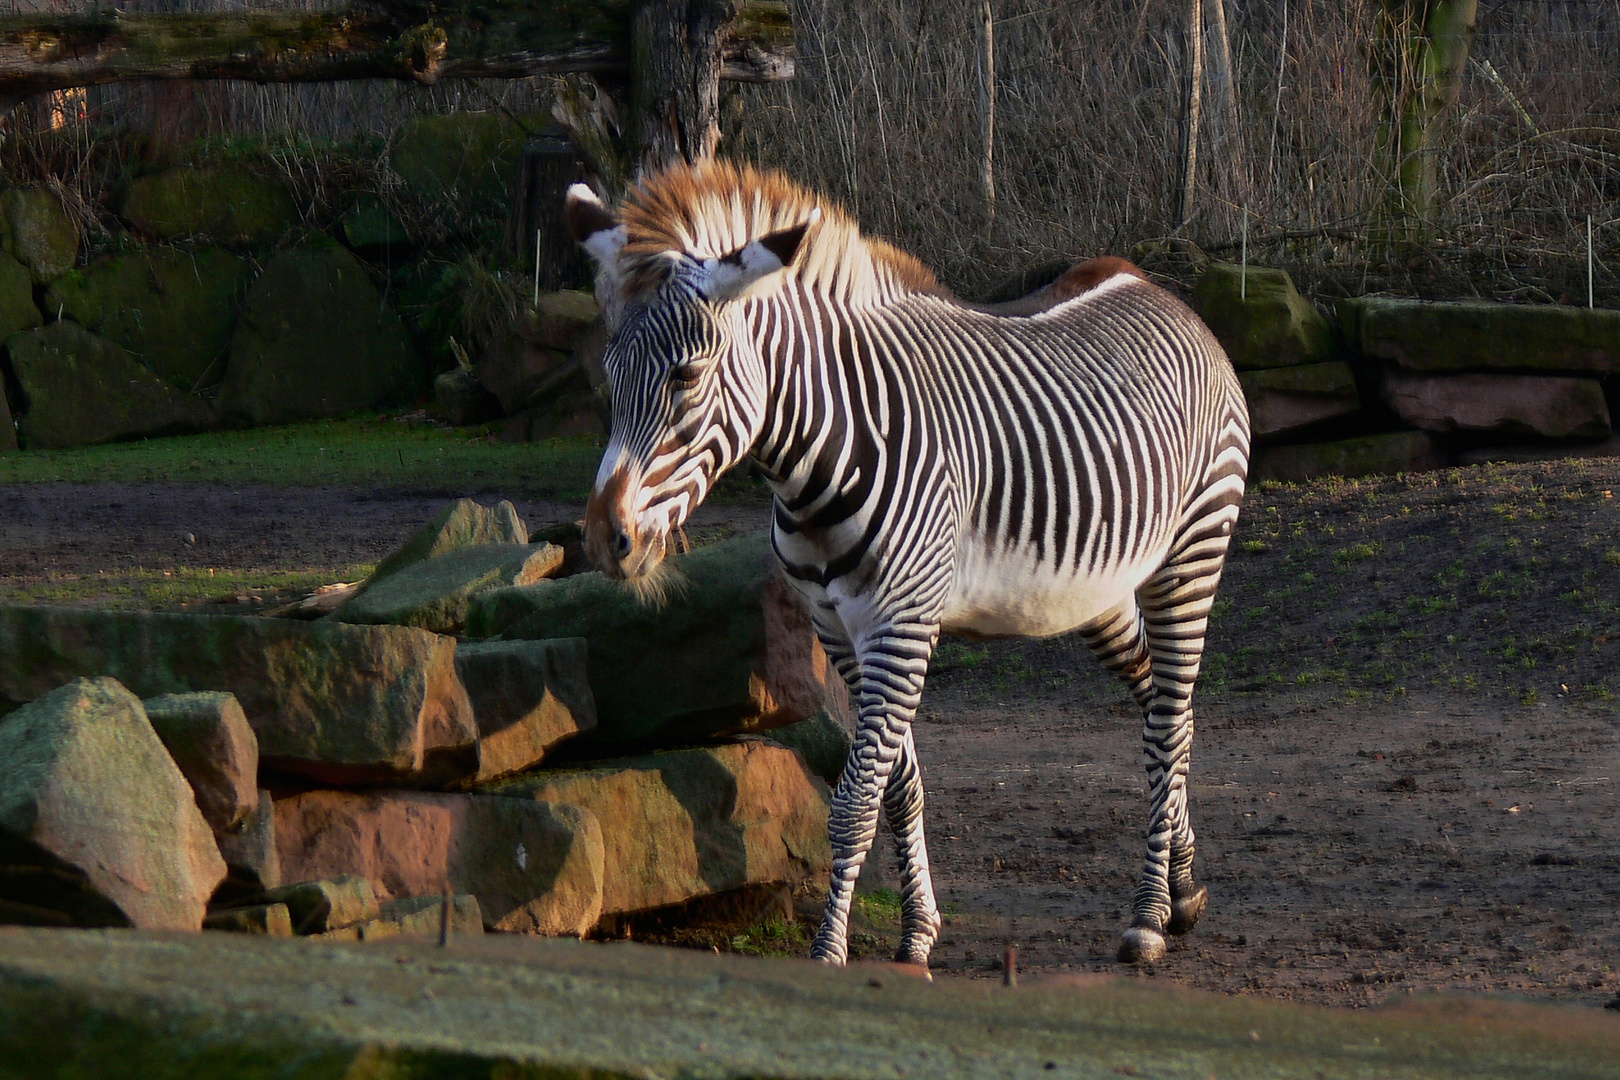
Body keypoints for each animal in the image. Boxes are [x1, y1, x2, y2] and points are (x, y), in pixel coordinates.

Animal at [570, 162, 1250, 971]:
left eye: (687, 376)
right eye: (608, 373)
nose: (604, 538)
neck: (819, 459)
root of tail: (1155, 287)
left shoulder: (899, 626)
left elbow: (855, 799)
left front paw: (828, 952)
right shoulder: (837, 631)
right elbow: (900, 786)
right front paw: (918, 932)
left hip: (1193, 549)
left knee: (1168, 723)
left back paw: (1148, 915)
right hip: (1098, 591)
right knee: (1159, 702)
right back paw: (1182, 887)